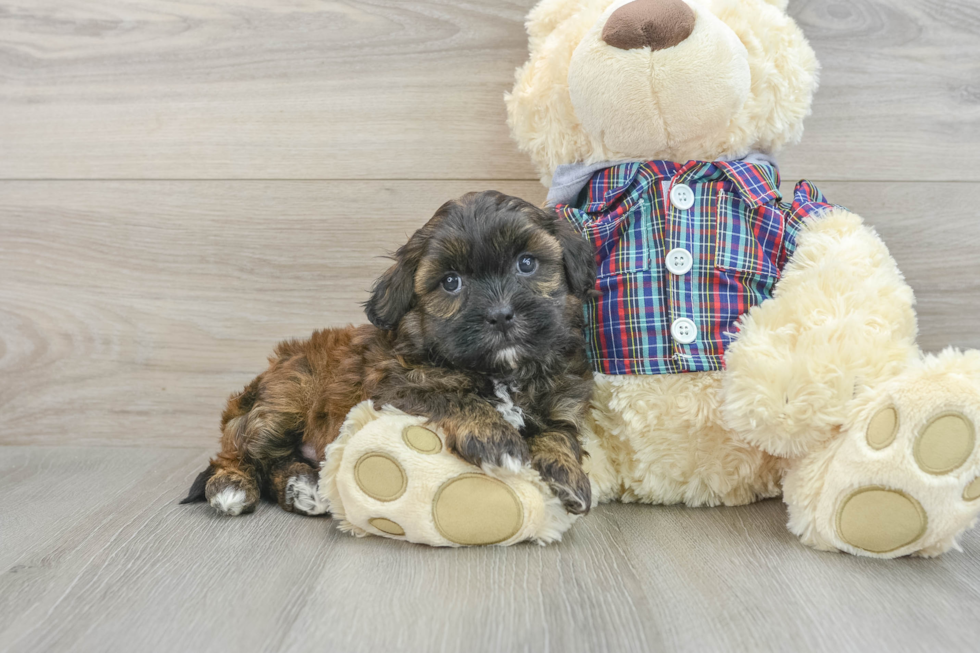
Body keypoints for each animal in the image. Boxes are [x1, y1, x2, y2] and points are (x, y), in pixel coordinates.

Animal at [184, 188, 596, 516]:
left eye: (527, 263)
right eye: (451, 282)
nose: (500, 315)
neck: (501, 371)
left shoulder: (563, 403)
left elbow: (560, 434)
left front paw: (566, 475)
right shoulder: (394, 389)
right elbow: (455, 398)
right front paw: (497, 439)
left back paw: (302, 487)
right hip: (285, 400)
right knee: (241, 452)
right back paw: (232, 486)